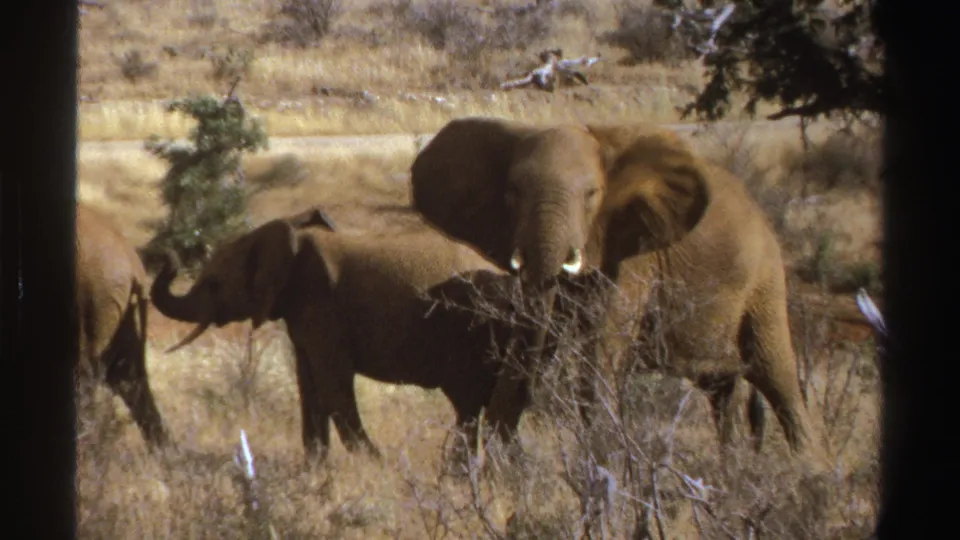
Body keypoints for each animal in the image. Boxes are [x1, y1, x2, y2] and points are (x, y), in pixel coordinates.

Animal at [149, 206, 538, 462]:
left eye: (214, 284)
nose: (167, 253)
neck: (286, 236)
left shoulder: (322, 306)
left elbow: (332, 385)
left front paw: (374, 464)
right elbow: (308, 386)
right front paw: (316, 468)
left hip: (474, 329)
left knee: (468, 404)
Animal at [409, 117, 827, 467]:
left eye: (592, 194)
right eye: (512, 192)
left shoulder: (629, 256)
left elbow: (598, 360)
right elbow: (531, 341)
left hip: (765, 279)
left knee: (777, 375)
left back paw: (809, 473)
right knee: (722, 391)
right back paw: (735, 475)